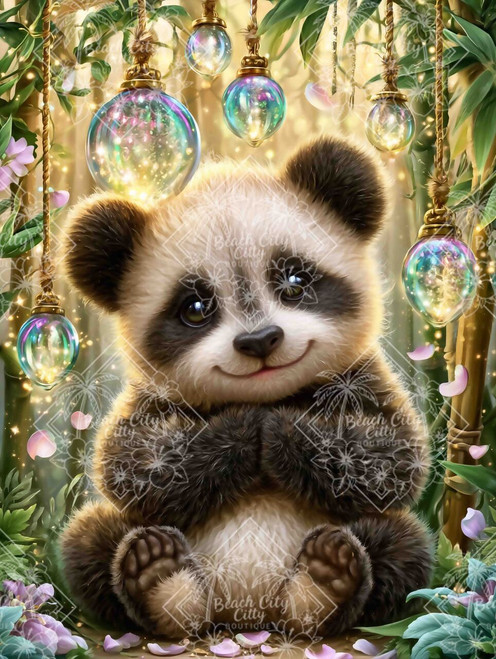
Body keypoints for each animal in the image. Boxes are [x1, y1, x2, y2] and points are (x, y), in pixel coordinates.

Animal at [60, 137, 432, 640]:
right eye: (195, 307)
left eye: (294, 280)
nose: (259, 341)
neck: (267, 392)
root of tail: (248, 611)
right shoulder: (150, 399)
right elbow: (133, 465)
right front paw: (245, 427)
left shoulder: (363, 378)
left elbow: (389, 457)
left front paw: (277, 429)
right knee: (92, 539)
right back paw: (160, 580)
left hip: (382, 548)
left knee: (402, 544)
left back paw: (324, 581)